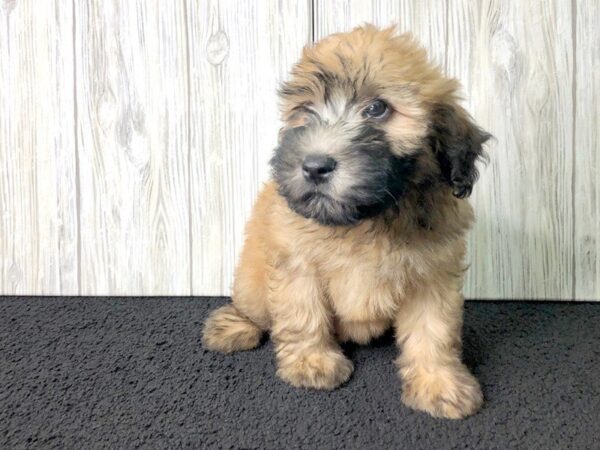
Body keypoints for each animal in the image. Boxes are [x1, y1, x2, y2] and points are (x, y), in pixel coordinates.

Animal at [204, 23, 490, 418]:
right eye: (305, 110)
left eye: (377, 109)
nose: (314, 166)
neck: (366, 218)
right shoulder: (297, 263)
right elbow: (303, 312)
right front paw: (312, 363)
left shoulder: (432, 275)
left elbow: (434, 330)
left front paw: (439, 383)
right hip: (251, 277)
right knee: (253, 306)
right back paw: (235, 325)